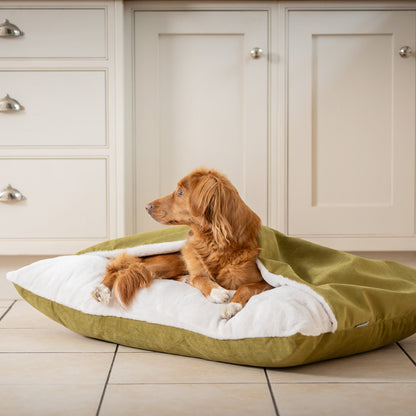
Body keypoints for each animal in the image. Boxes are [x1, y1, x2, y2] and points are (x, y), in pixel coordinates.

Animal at [92, 168, 272, 318]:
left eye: (180, 192)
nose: (147, 206)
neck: (214, 241)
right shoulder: (196, 266)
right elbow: (199, 278)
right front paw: (217, 292)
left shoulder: (266, 282)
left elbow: (245, 287)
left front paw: (232, 305)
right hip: (167, 261)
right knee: (119, 268)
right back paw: (101, 290)